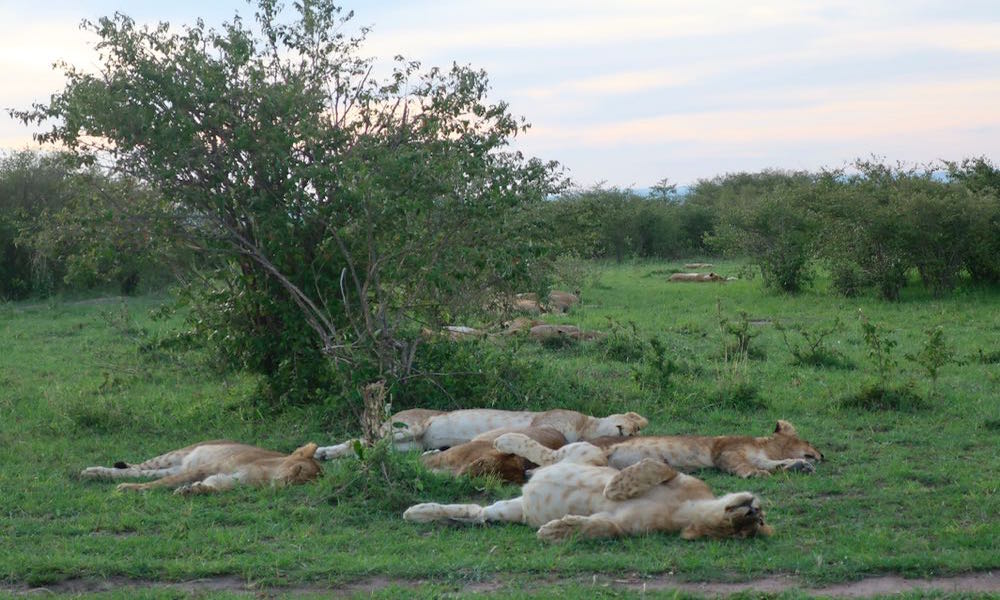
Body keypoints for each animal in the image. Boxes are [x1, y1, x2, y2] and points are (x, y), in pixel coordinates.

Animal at [406, 432, 772, 544]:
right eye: (760, 519)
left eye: (752, 526)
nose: (752, 508)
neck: (685, 512)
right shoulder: (678, 474)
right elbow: (654, 468)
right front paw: (615, 488)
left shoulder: (623, 527)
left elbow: (600, 528)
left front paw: (555, 530)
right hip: (587, 453)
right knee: (546, 453)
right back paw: (506, 439)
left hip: (507, 512)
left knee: (475, 512)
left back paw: (417, 512)